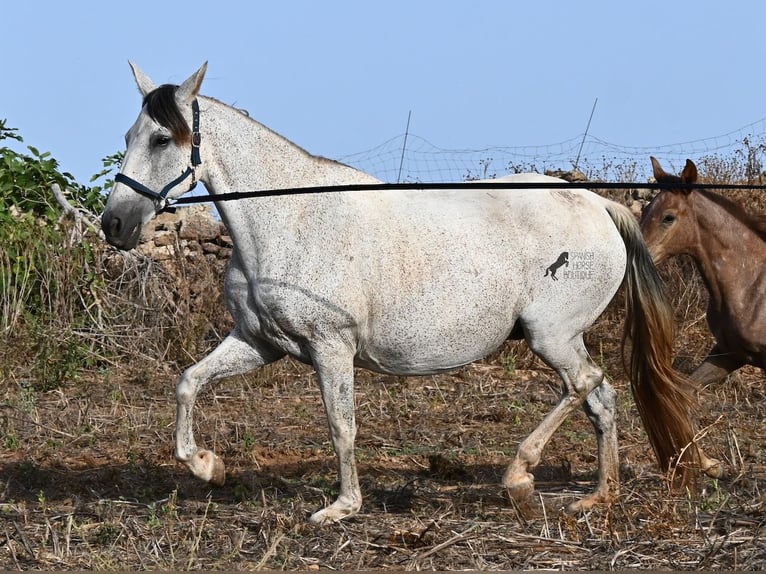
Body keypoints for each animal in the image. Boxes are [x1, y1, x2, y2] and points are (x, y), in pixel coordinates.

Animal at [101, 62, 700, 525]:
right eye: (127, 137)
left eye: (161, 138)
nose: (115, 225)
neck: (288, 220)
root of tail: (598, 204)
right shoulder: (258, 341)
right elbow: (188, 383)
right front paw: (208, 466)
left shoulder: (330, 347)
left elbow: (341, 425)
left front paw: (341, 508)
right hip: (562, 339)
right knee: (602, 399)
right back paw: (599, 497)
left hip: (550, 335)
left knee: (585, 385)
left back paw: (520, 478)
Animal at [641, 157, 766, 474]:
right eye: (645, 211)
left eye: (668, 217)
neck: (752, 284)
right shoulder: (729, 353)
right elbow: (686, 394)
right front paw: (708, 464)